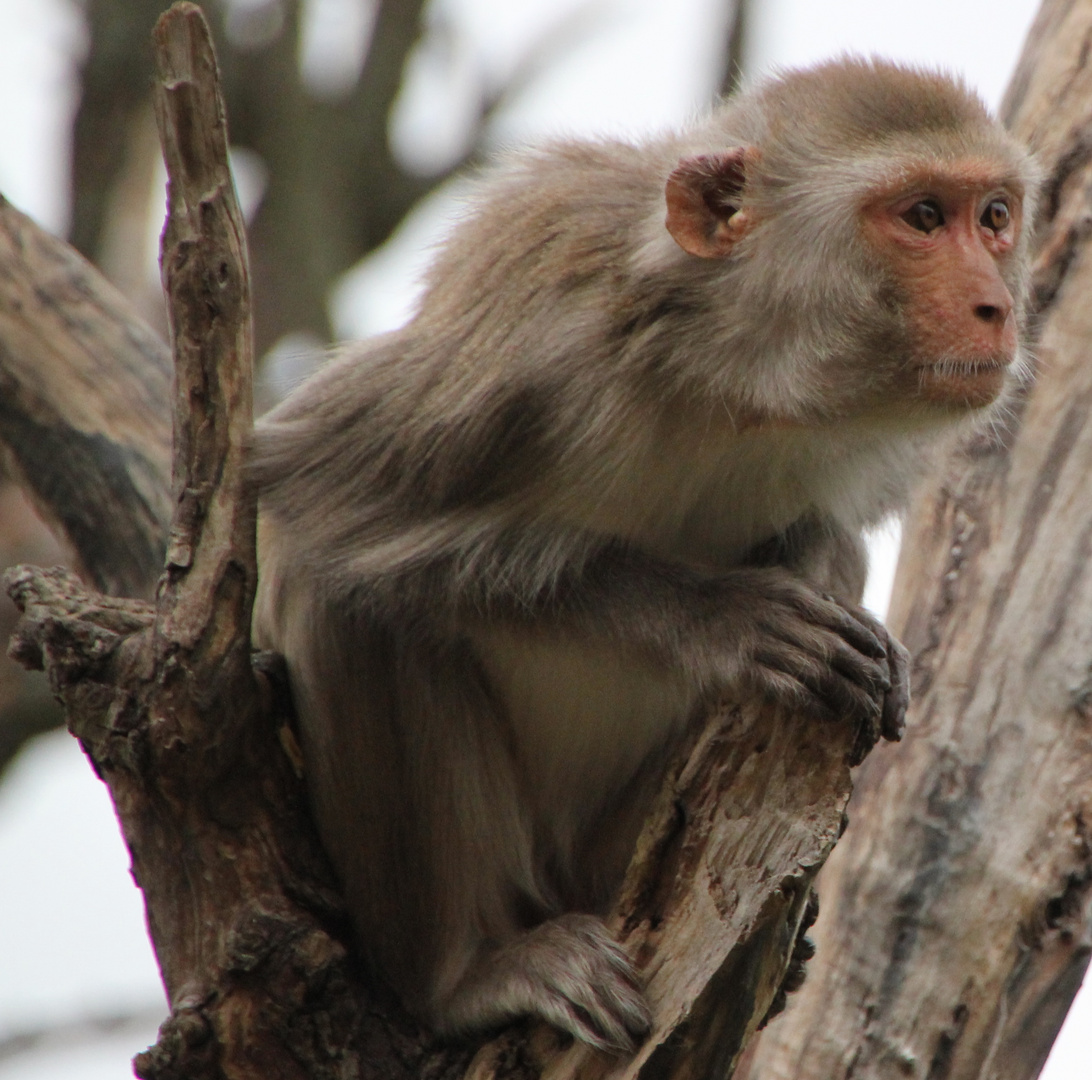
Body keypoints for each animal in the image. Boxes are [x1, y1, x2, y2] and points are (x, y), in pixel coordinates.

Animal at [250, 58, 1039, 1052]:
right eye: (924, 216)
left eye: (995, 216)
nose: (997, 307)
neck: (729, 377)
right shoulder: (531, 348)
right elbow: (301, 497)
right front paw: (724, 617)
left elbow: (830, 535)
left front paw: (841, 606)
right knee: (347, 591)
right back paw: (463, 978)